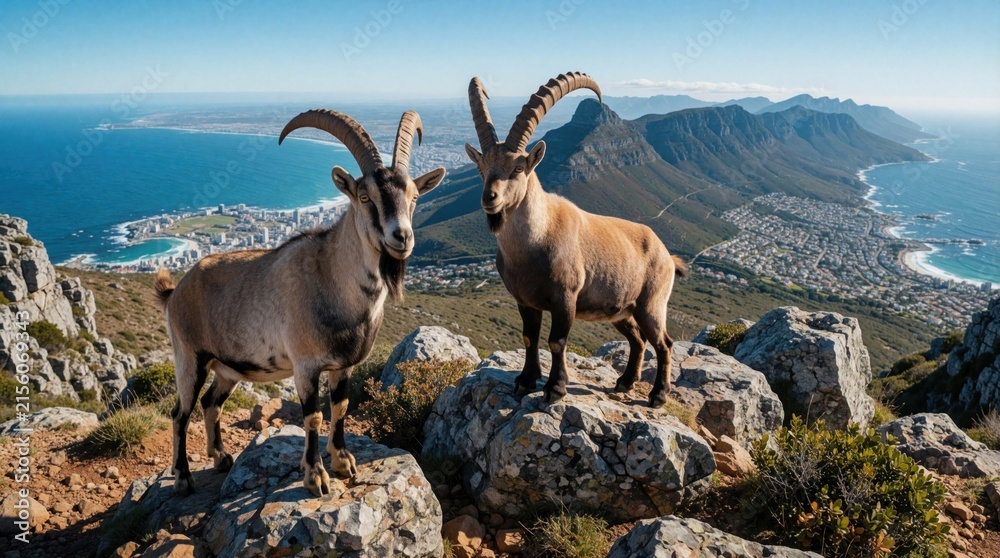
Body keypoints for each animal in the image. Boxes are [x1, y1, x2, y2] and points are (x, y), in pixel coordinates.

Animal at [154, 109, 445, 496]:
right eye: (364, 196)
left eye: (414, 196)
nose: (402, 237)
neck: (333, 281)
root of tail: (176, 291)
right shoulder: (305, 366)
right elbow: (314, 415)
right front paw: (316, 476)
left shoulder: (343, 365)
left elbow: (341, 407)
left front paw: (343, 462)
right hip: (190, 358)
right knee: (180, 413)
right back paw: (183, 477)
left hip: (228, 368)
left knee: (210, 403)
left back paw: (221, 458)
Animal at [464, 72, 687, 408]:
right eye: (481, 168)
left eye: (518, 167)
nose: (489, 198)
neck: (533, 244)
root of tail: (667, 255)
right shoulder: (524, 301)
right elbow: (529, 337)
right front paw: (525, 381)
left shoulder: (565, 298)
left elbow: (557, 341)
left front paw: (555, 388)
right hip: (622, 310)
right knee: (638, 339)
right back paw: (625, 381)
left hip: (652, 304)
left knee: (664, 342)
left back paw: (658, 395)